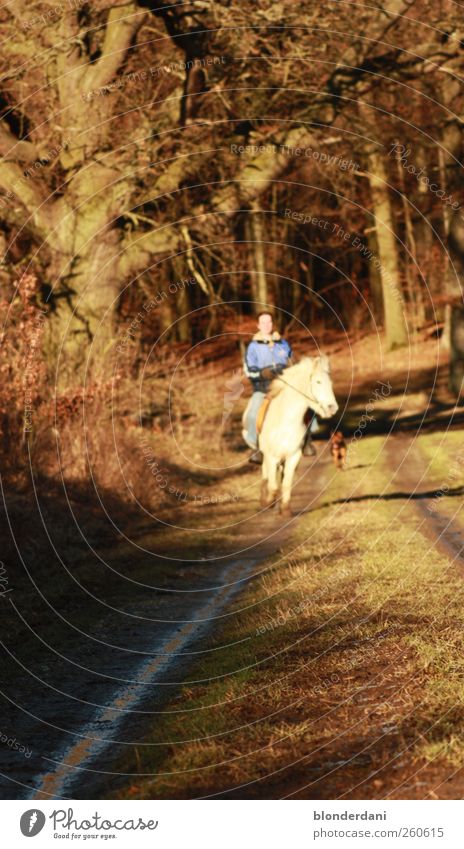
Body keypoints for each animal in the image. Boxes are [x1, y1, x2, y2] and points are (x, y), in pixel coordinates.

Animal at [246, 354, 338, 512]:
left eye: (330, 382)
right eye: (318, 382)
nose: (332, 408)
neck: (286, 421)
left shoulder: (293, 456)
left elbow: (286, 483)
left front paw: (285, 509)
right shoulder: (272, 457)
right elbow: (273, 485)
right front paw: (269, 501)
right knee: (265, 474)